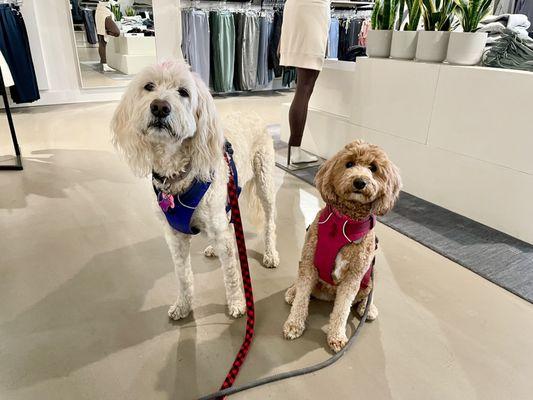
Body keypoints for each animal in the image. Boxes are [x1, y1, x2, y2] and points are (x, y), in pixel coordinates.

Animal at [111, 61, 278, 320]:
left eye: (183, 92)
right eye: (148, 86)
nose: (160, 107)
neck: (177, 175)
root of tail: (251, 112)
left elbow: (232, 274)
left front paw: (237, 303)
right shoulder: (175, 237)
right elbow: (183, 276)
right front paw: (183, 305)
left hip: (264, 182)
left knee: (269, 222)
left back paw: (270, 254)